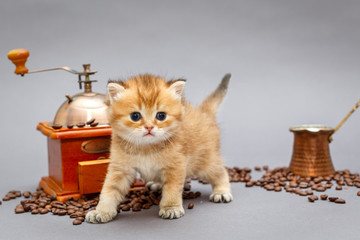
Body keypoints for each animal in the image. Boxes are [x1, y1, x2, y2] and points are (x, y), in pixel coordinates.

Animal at [86, 73, 232, 223]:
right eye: (135, 116)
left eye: (161, 115)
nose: (149, 127)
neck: (146, 148)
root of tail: (204, 113)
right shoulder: (120, 169)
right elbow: (109, 190)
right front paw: (101, 211)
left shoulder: (175, 167)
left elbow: (172, 190)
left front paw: (170, 208)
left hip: (208, 162)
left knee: (221, 173)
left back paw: (221, 191)